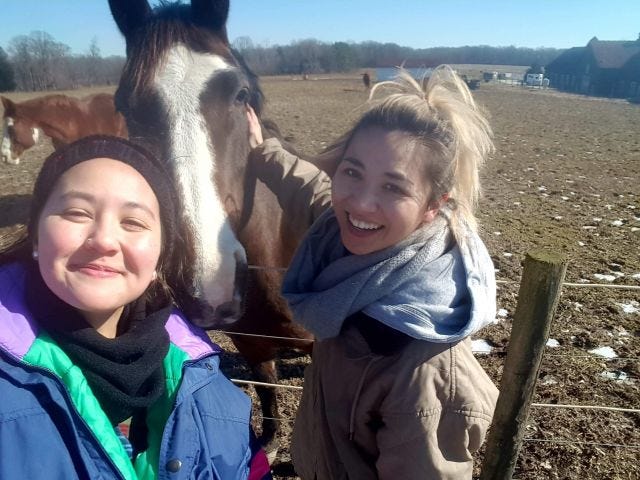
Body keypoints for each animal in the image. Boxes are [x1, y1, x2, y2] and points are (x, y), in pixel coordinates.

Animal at [110, 0, 316, 460]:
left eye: (240, 94)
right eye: (126, 105)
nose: (211, 284)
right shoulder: (250, 341)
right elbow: (266, 387)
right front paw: (269, 442)